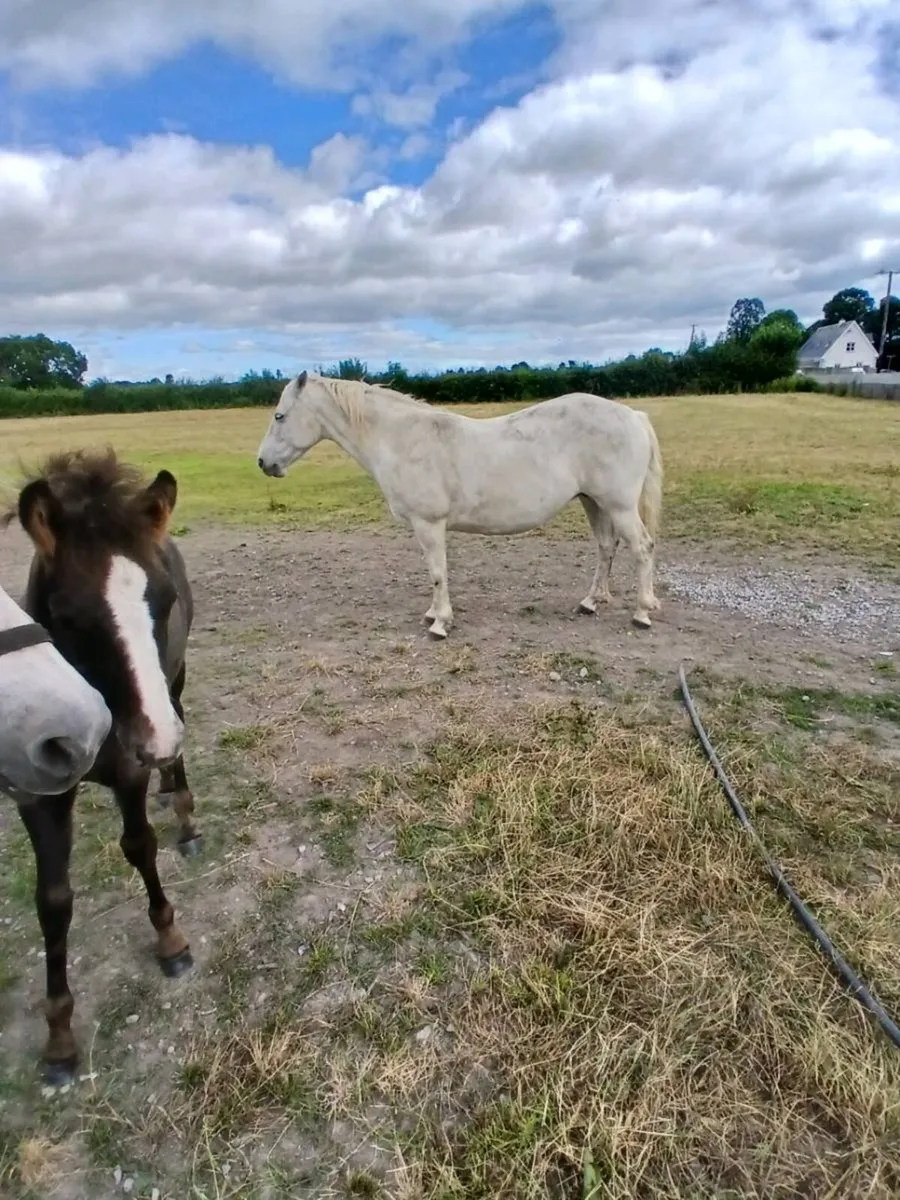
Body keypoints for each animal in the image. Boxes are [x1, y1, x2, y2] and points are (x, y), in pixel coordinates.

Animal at [257, 371, 663, 638]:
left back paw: (642, 613)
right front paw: (432, 614)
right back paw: (590, 603)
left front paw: (440, 623)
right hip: (594, 503)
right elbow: (434, 573)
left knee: (642, 549)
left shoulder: (429, 524)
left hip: (619, 506)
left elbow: (438, 572)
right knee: (606, 548)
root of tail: (633, 416)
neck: (403, 439)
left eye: (280, 415)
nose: (263, 463)